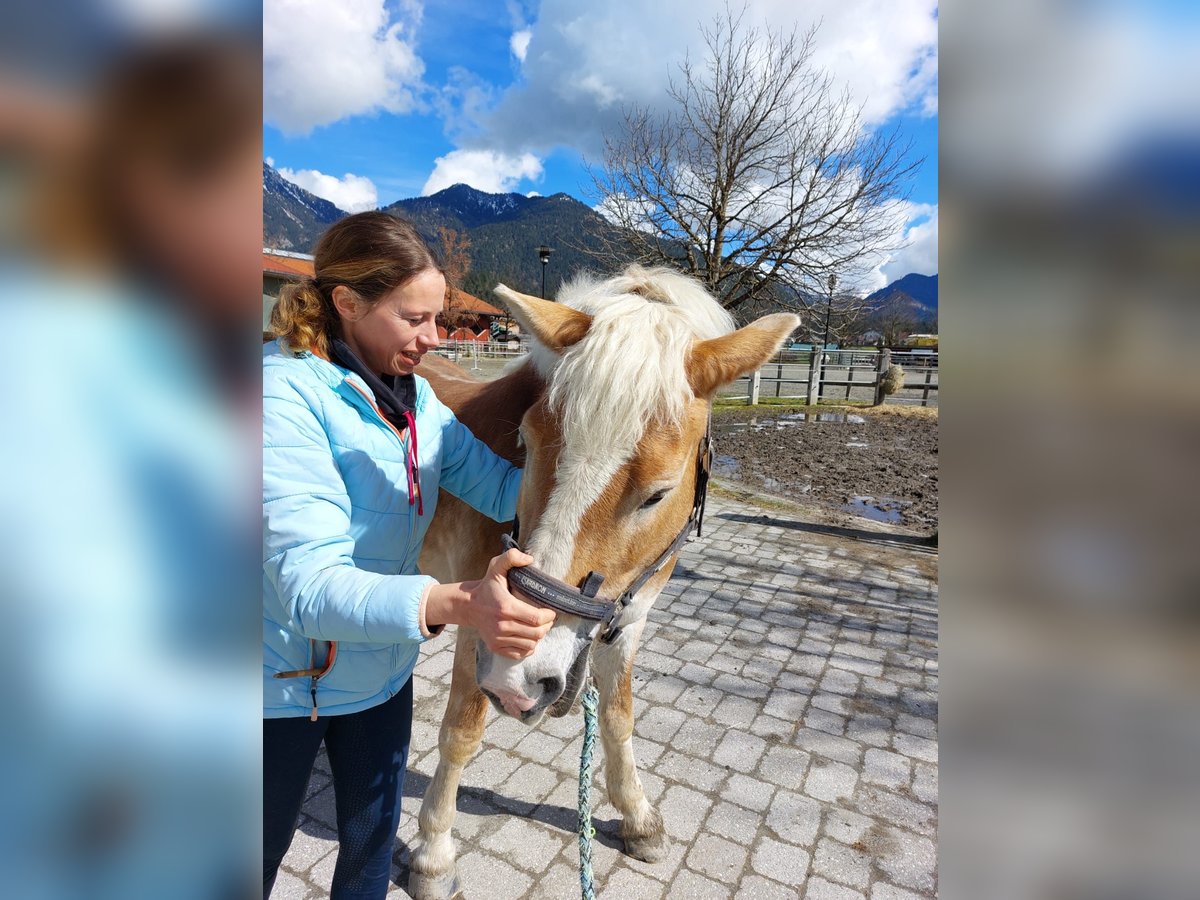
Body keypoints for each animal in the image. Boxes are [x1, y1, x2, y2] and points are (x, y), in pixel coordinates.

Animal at [410, 264, 796, 897]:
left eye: (658, 493)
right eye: (525, 442)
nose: (522, 679)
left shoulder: (628, 623)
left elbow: (618, 717)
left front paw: (637, 816)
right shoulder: (480, 627)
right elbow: (461, 732)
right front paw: (434, 853)